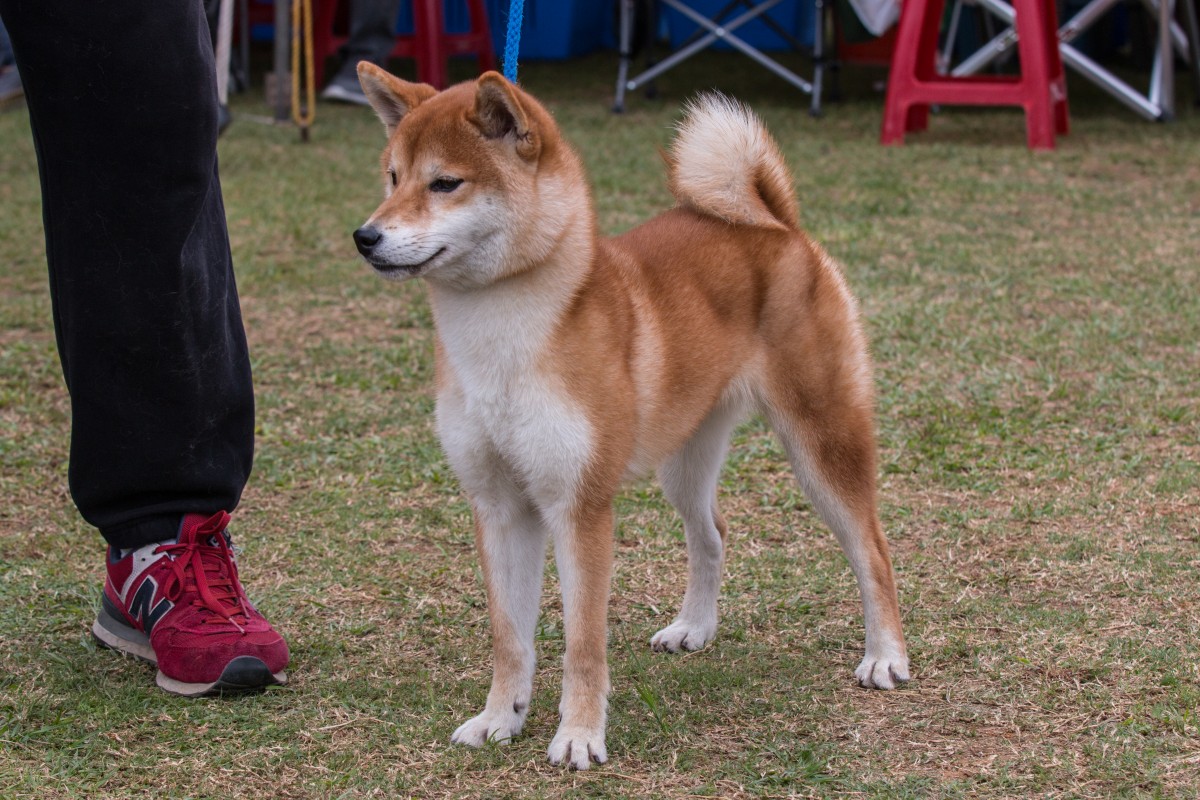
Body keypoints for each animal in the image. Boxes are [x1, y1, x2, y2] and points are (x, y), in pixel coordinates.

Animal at [355, 67, 907, 767]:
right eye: (392, 177)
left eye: (445, 183)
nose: (365, 236)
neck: (500, 339)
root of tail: (776, 223)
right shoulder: (499, 506)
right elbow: (510, 637)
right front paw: (500, 718)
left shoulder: (579, 505)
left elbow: (582, 642)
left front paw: (579, 735)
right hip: (685, 460)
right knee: (712, 534)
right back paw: (694, 626)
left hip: (821, 441)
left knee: (872, 550)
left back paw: (885, 657)